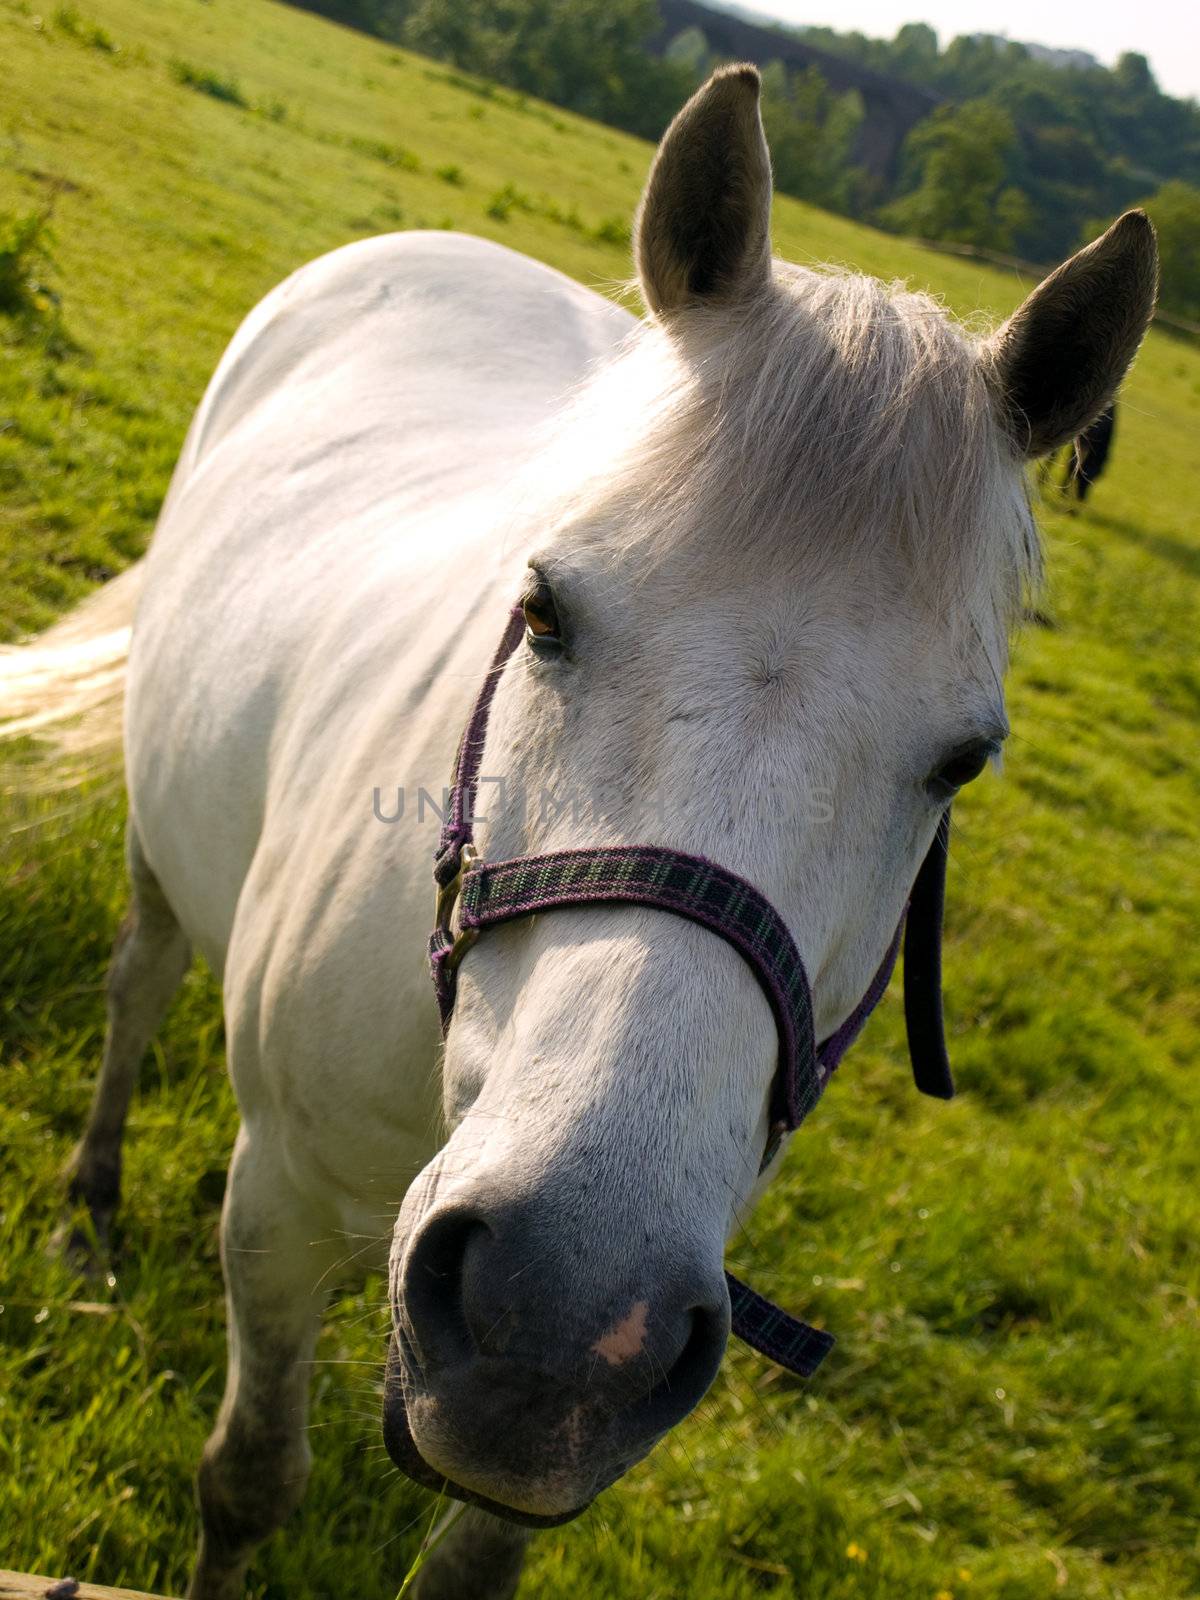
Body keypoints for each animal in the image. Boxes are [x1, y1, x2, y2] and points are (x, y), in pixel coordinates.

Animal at [4, 68, 1158, 1600]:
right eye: (543, 609)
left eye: (961, 762)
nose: (560, 1315)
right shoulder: (275, 1203)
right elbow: (249, 1479)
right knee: (140, 980)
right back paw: (88, 1209)